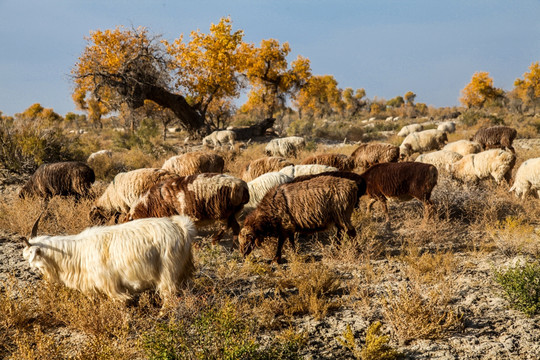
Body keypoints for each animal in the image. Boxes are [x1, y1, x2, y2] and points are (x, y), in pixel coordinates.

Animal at [23, 214, 196, 310]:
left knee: (170, 298)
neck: (77, 254)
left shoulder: (113, 287)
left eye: (31, 256)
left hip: (168, 273)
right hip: (184, 272)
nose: (31, 271)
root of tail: (181, 228)